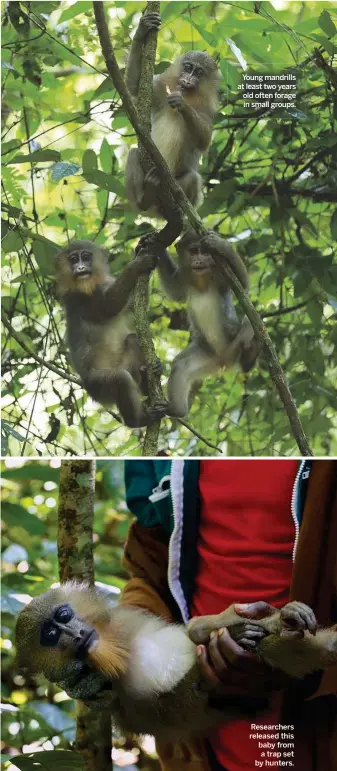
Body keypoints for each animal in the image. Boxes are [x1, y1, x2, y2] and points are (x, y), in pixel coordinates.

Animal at [15, 588, 336, 744]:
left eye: (64, 615)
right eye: (51, 635)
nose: (77, 635)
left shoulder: (126, 620)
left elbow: (194, 630)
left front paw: (278, 616)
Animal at [124, 11, 219, 217]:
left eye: (198, 72)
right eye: (188, 67)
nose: (187, 80)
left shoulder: (208, 109)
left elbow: (204, 140)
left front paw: (181, 104)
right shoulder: (159, 88)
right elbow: (133, 86)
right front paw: (142, 29)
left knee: (193, 178)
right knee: (134, 153)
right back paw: (145, 197)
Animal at [154, 229, 258, 420]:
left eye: (205, 252)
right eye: (194, 251)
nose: (199, 261)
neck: (202, 278)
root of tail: (223, 360)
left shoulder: (221, 273)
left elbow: (243, 286)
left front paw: (221, 245)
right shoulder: (184, 275)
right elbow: (174, 292)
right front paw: (156, 244)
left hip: (234, 343)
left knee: (251, 321)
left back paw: (249, 357)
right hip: (205, 352)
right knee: (180, 365)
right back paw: (177, 410)